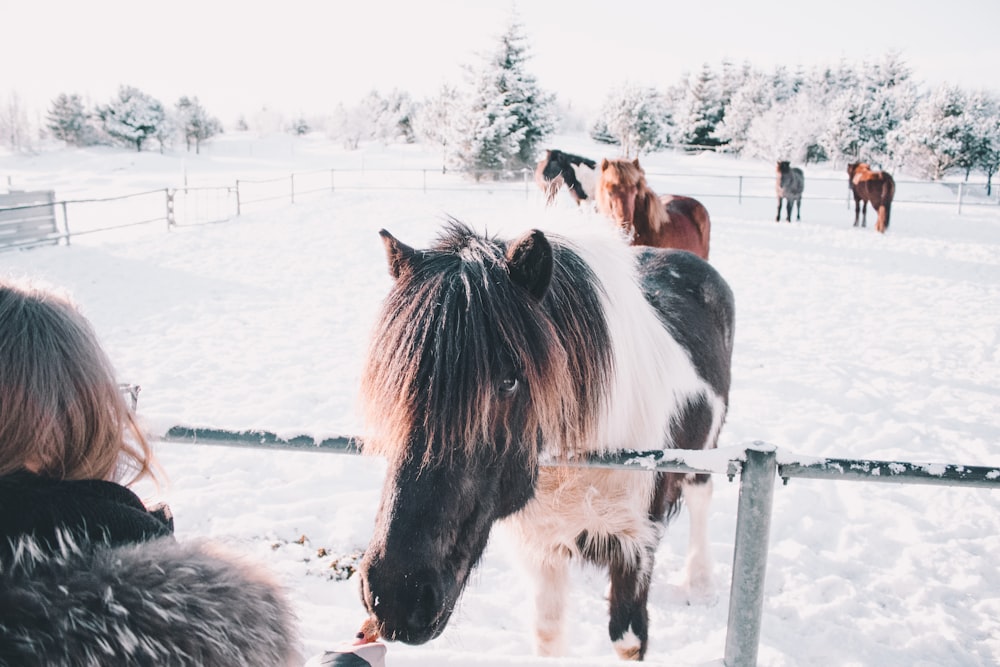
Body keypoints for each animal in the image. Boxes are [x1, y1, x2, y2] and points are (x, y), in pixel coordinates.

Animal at [360, 217, 736, 660]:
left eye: (509, 381)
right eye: (397, 381)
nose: (395, 595)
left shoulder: (637, 545)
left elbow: (628, 639)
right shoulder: (542, 549)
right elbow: (548, 635)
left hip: (705, 450)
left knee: (700, 496)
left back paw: (700, 581)